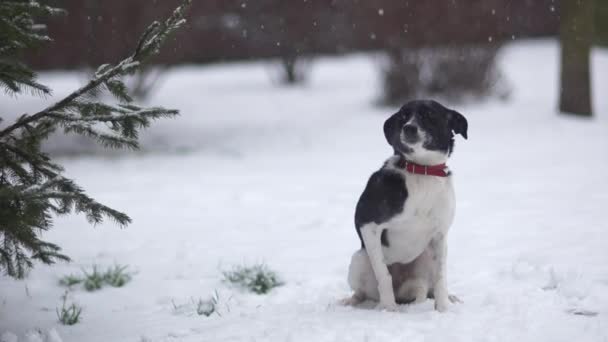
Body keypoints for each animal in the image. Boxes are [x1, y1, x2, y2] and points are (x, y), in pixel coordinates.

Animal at [344, 99, 468, 312]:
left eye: (430, 115)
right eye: (403, 116)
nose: (409, 128)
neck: (422, 170)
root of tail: (402, 292)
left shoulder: (440, 234)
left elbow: (441, 277)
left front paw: (443, 308)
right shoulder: (367, 224)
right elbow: (383, 275)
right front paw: (389, 309)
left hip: (427, 257)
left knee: (428, 288)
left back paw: (449, 298)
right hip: (360, 259)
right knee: (362, 292)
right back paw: (352, 302)